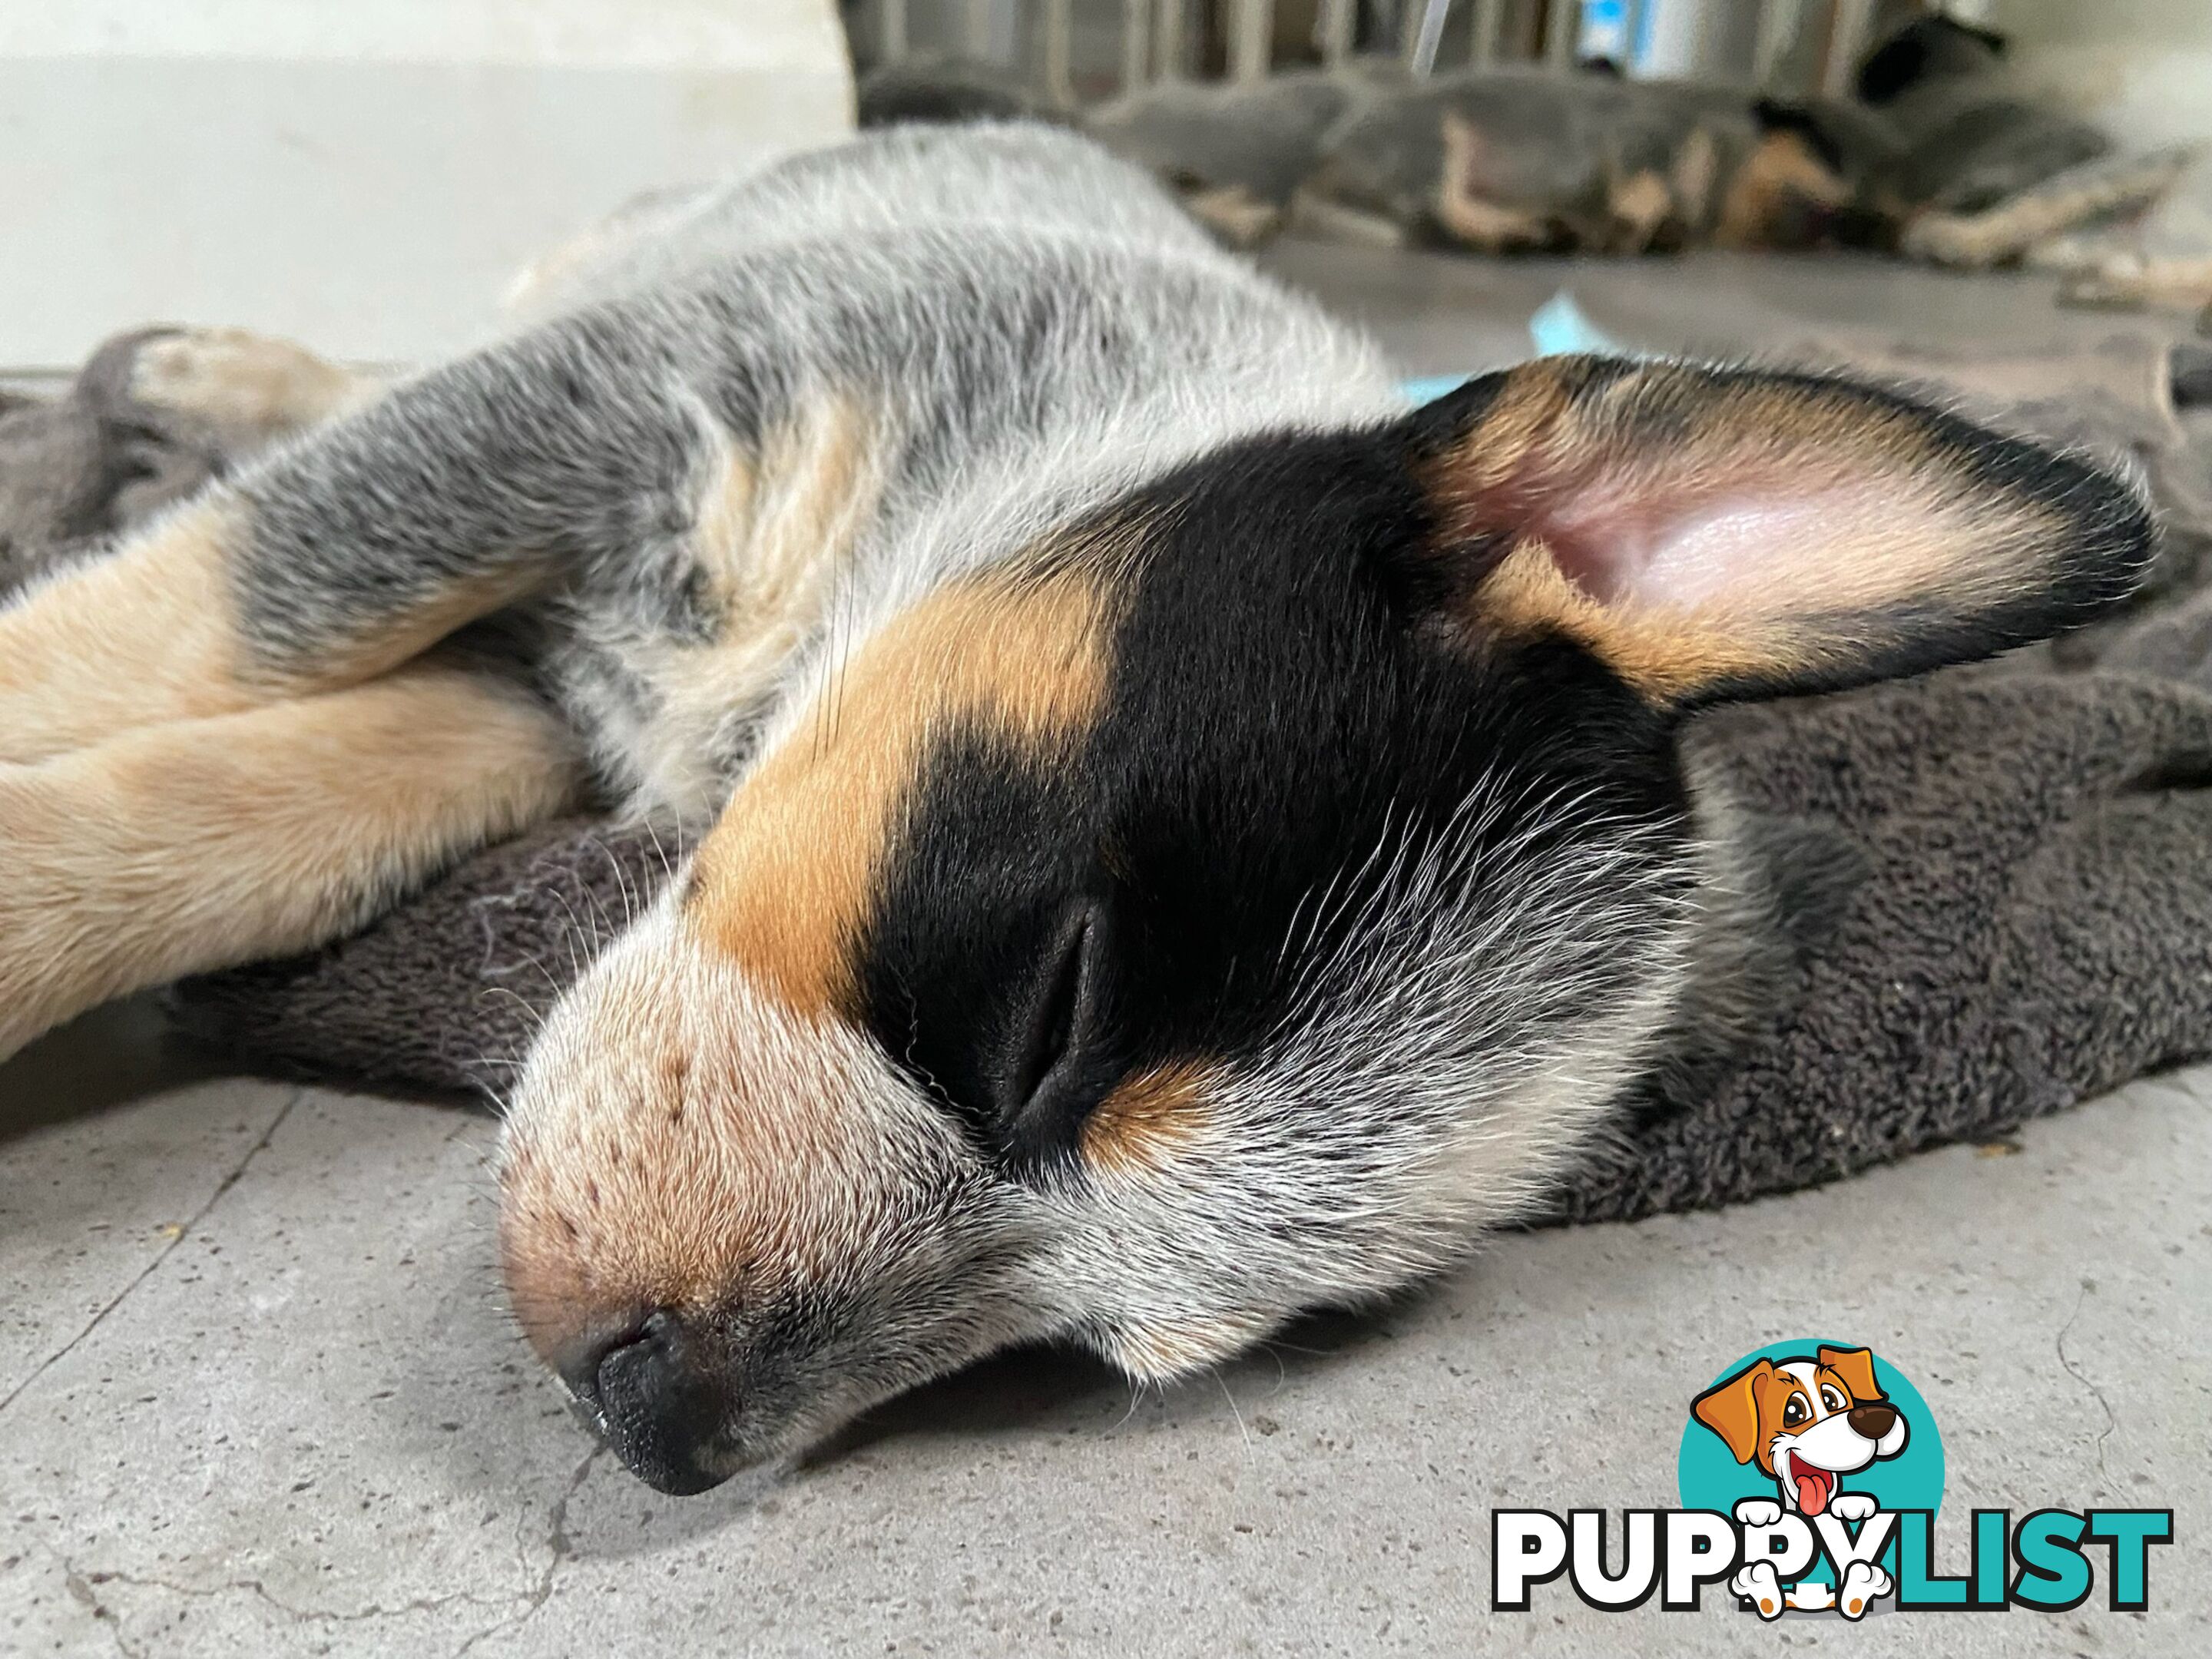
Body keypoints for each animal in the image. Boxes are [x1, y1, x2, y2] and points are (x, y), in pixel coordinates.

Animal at [0, 120, 2141, 1495]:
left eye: (1082, 1347)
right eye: (1061, 1007)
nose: (656, 1428)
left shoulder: (514, 712)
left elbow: (249, 814)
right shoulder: (586, 415)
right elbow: (155, 621)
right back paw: (218, 367)